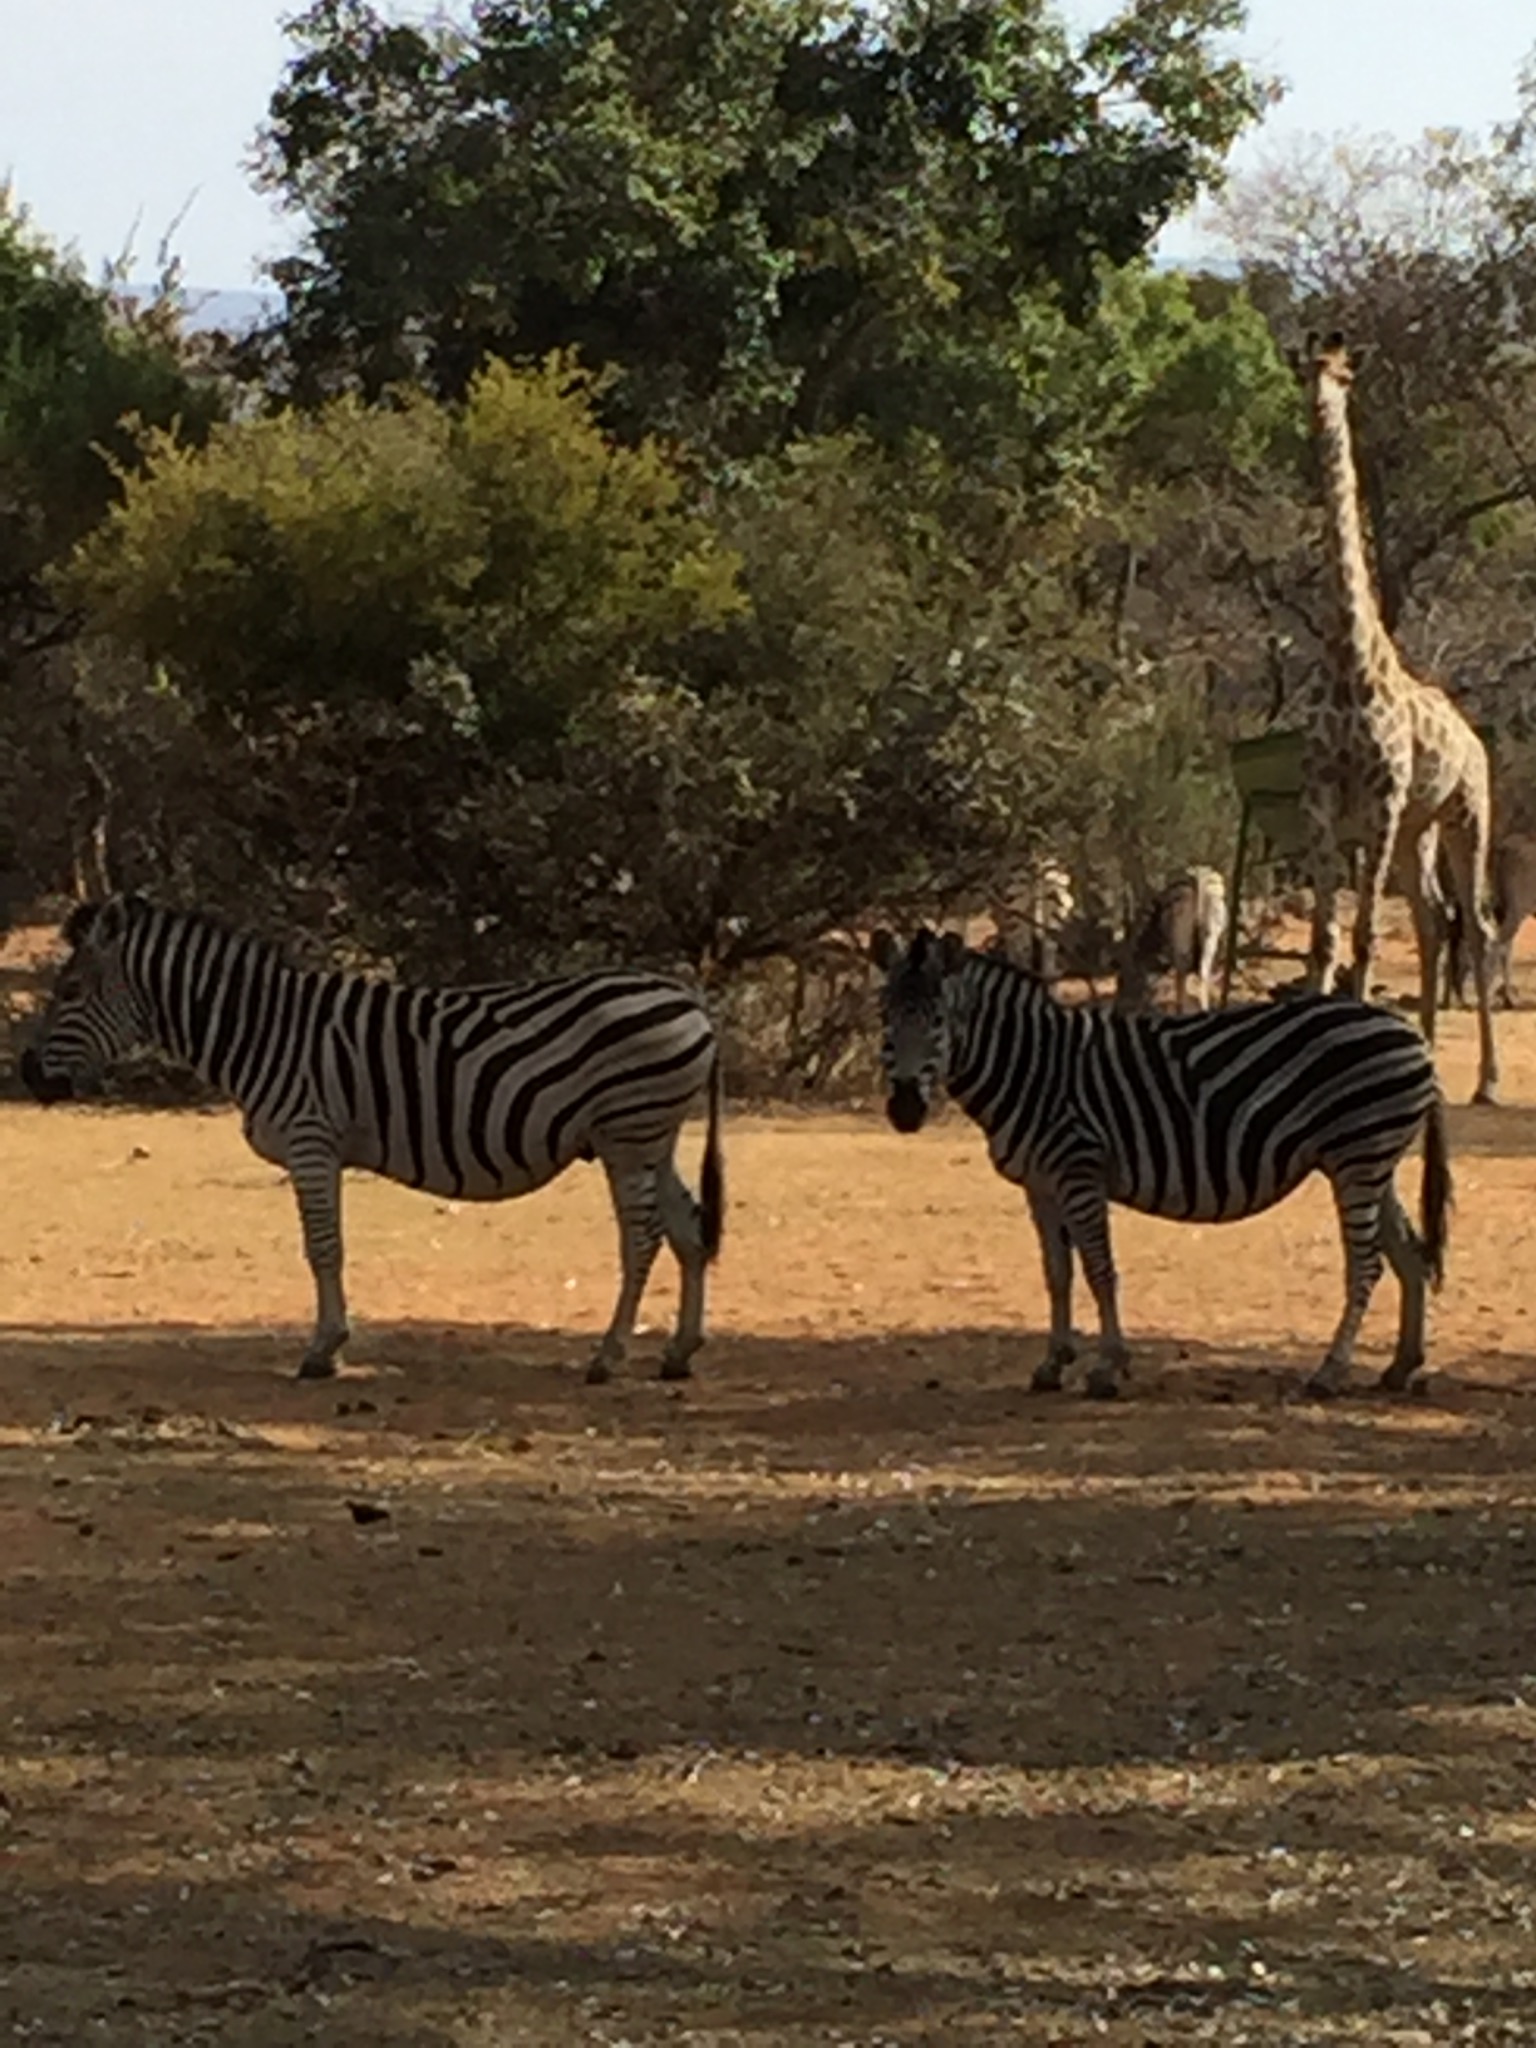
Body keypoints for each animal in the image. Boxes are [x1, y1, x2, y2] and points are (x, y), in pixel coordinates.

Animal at [21, 896, 724, 1384]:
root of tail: (691, 1000)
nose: (28, 1075)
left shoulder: (310, 1141)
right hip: (650, 1135)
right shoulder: (319, 1148)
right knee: (689, 1229)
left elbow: (322, 1249)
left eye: (71, 990)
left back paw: (608, 1355)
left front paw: (322, 1351)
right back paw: (678, 1353)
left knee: (644, 1237)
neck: (261, 1030)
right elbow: (326, 1248)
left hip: (627, 1131)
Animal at [872, 927, 1450, 1400]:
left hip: (1358, 1157)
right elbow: (1057, 1273)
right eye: (883, 1020)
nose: (904, 1110)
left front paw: (1107, 1368)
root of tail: (1415, 1037)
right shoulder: (1040, 1184)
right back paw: (1401, 1367)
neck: (1031, 1067)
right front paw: (1052, 1364)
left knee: (1368, 1265)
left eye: (939, 1021)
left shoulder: (1079, 1170)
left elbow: (1100, 1270)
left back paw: (1329, 1372)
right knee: (1410, 1255)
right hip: (1371, 1160)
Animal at [1299, 329, 1500, 1107]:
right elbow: (1325, 938)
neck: (1352, 662)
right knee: (1431, 919)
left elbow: (1360, 938)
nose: (1320, 404)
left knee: (1476, 924)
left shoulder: (1382, 798)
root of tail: (1477, 740)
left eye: (1345, 375)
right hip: (1420, 829)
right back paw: (1428, 1060)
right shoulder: (1324, 796)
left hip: (1465, 814)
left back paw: (1486, 1082)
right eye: (1307, 371)